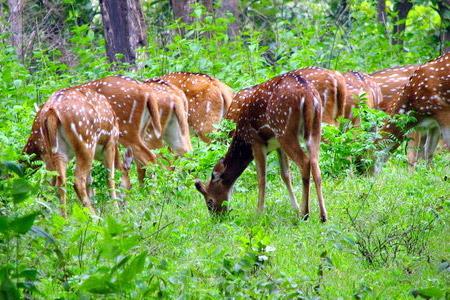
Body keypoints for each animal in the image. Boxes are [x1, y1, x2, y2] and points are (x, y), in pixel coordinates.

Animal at [23, 88, 119, 217]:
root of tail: (52, 112)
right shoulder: (110, 143)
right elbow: (110, 178)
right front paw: (117, 211)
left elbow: (91, 181)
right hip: (86, 143)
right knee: (77, 180)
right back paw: (94, 216)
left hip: (58, 151)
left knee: (59, 181)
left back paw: (63, 217)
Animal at [194, 73, 326, 220]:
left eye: (209, 202)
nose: (217, 219)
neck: (243, 140)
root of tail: (308, 95)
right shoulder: (277, 146)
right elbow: (285, 175)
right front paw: (295, 208)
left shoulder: (256, 141)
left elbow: (262, 178)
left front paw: (259, 212)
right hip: (315, 127)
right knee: (315, 165)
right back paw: (322, 216)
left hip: (284, 130)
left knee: (305, 162)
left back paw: (305, 213)